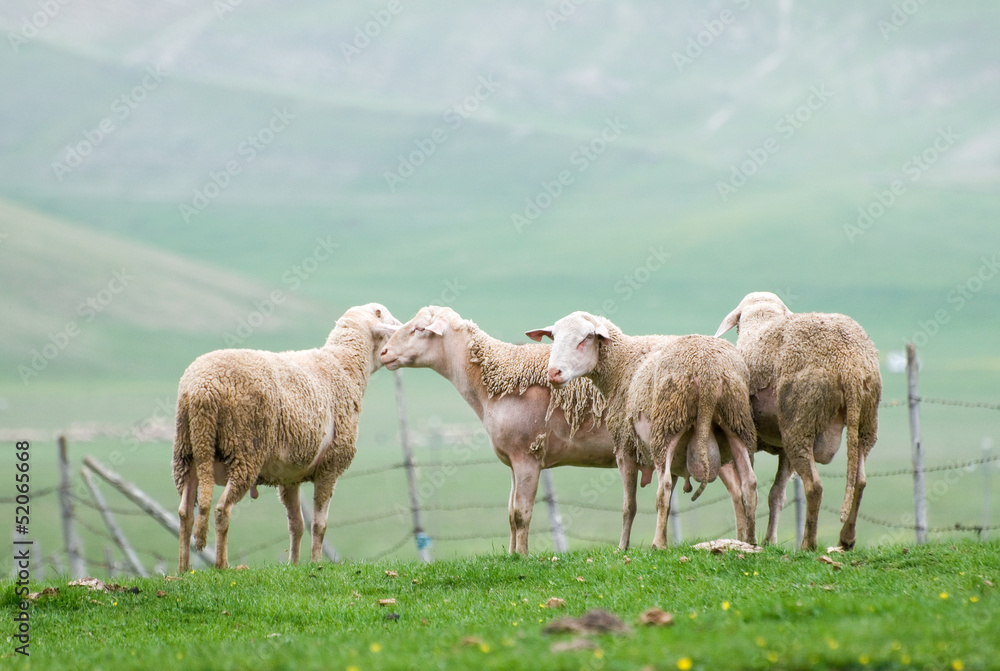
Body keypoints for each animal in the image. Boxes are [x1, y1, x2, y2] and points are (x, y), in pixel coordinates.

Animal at [172, 303, 401, 571]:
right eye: (385, 317)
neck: (343, 366)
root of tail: (202, 389)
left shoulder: (289, 476)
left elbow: (297, 525)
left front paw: (293, 564)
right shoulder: (330, 465)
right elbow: (319, 525)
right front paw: (315, 563)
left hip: (187, 450)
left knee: (185, 513)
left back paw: (184, 569)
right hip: (244, 449)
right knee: (221, 509)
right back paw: (222, 566)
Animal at [378, 305, 655, 554]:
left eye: (419, 329)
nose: (384, 352)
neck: (493, 379)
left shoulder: (527, 457)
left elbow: (522, 514)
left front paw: (523, 555)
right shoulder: (512, 460)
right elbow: (511, 514)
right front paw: (512, 556)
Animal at [527, 311, 758, 549]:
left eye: (586, 338)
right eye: (554, 337)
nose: (553, 373)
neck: (623, 363)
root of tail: (708, 372)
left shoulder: (625, 448)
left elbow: (629, 506)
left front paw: (622, 546)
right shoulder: (676, 458)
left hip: (667, 425)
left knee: (664, 487)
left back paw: (657, 544)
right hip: (736, 421)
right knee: (749, 483)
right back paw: (750, 541)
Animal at [715, 291, 881, 551]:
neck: (761, 320)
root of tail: (848, 365)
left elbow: (744, 490)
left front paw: (747, 539)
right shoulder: (782, 447)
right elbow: (776, 494)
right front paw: (769, 540)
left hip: (800, 418)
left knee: (814, 485)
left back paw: (808, 544)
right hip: (866, 417)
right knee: (860, 480)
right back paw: (846, 539)